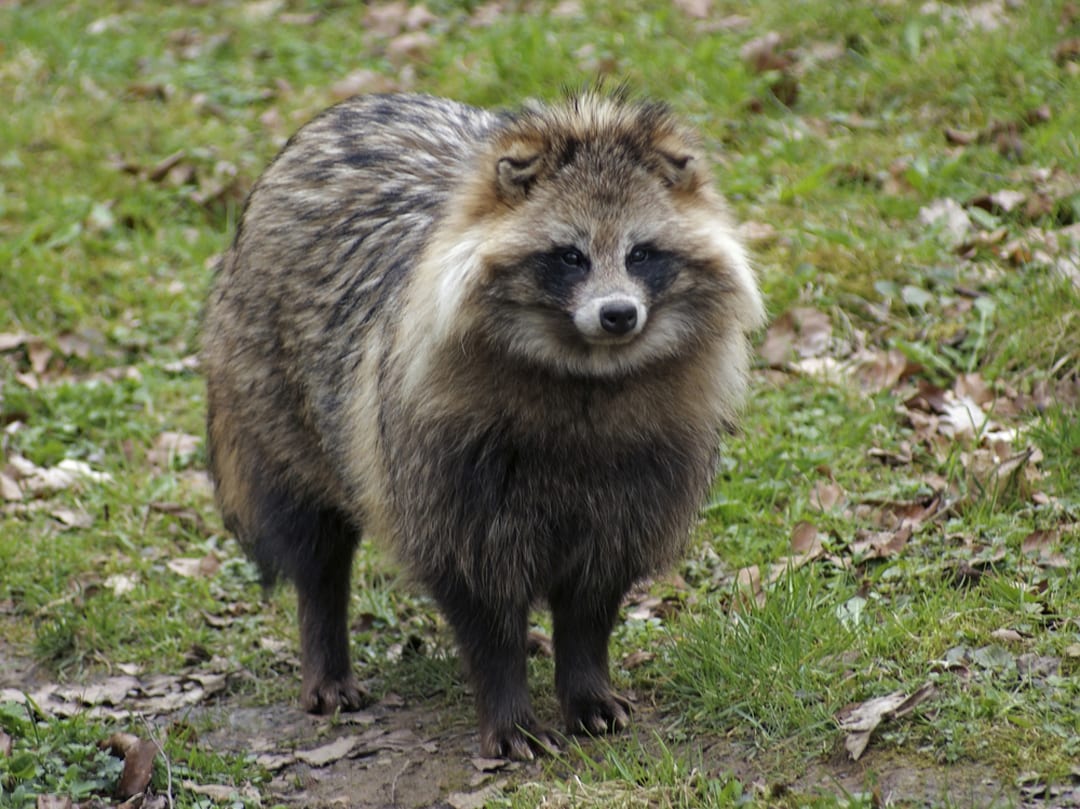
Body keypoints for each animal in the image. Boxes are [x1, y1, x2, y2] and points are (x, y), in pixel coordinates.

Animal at [200, 88, 760, 756]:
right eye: (570, 257)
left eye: (641, 253)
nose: (618, 314)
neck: (587, 372)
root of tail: (349, 108)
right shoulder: (443, 462)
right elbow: (478, 593)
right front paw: (507, 704)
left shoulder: (645, 470)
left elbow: (593, 594)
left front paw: (585, 682)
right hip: (273, 396)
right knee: (314, 542)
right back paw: (325, 643)